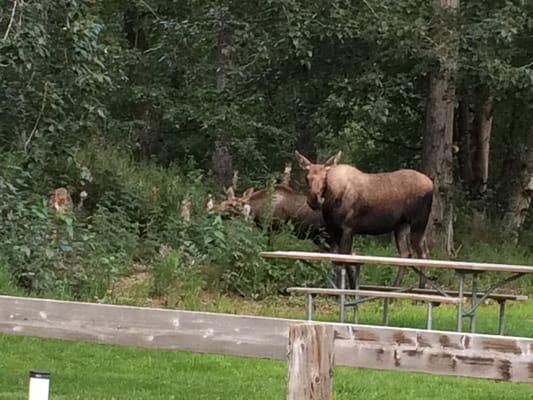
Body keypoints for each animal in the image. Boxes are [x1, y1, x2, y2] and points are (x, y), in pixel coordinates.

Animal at [296, 152, 432, 290]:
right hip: (401, 226)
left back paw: (420, 288)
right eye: (307, 177)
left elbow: (346, 260)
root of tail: (431, 183)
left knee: (422, 253)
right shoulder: (333, 231)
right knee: (406, 254)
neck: (331, 200)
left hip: (419, 223)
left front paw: (351, 287)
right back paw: (394, 288)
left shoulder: (348, 228)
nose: (313, 199)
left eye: (325, 178)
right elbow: (337, 262)